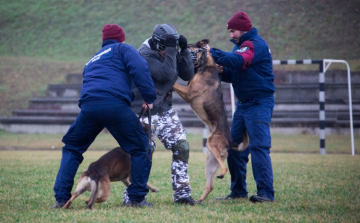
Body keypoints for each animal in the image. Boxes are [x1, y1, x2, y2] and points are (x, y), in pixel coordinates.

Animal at [173, 39, 249, 203]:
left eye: (188, 46)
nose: (177, 52)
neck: (204, 66)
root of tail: (229, 142)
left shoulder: (188, 93)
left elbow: (174, 84)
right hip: (209, 162)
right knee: (210, 186)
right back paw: (199, 201)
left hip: (212, 144)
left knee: (224, 168)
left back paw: (221, 175)